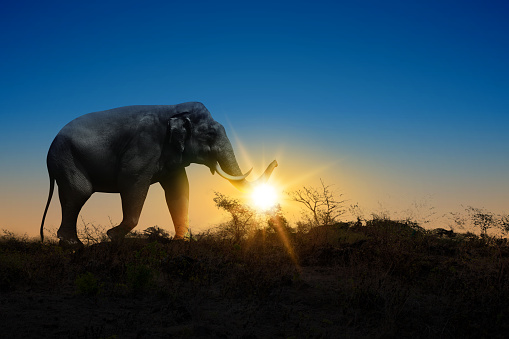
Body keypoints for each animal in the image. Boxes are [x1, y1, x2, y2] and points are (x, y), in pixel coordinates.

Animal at [39, 101, 278, 247]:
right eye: (210, 134)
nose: (276, 161)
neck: (173, 108)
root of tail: (49, 149)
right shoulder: (144, 145)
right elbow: (132, 182)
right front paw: (111, 236)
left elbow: (179, 189)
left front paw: (181, 242)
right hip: (67, 159)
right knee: (79, 192)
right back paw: (73, 244)